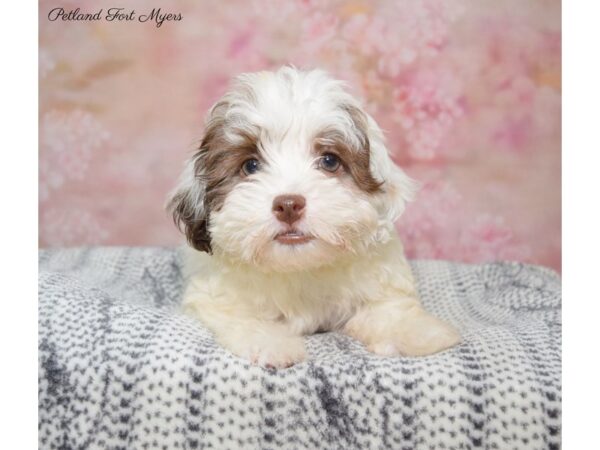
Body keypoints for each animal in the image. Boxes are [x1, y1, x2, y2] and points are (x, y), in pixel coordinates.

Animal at [166, 67, 462, 370]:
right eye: (250, 165)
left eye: (329, 161)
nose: (288, 205)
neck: (301, 265)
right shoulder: (215, 296)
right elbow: (241, 316)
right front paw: (271, 343)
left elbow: (388, 307)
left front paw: (417, 332)